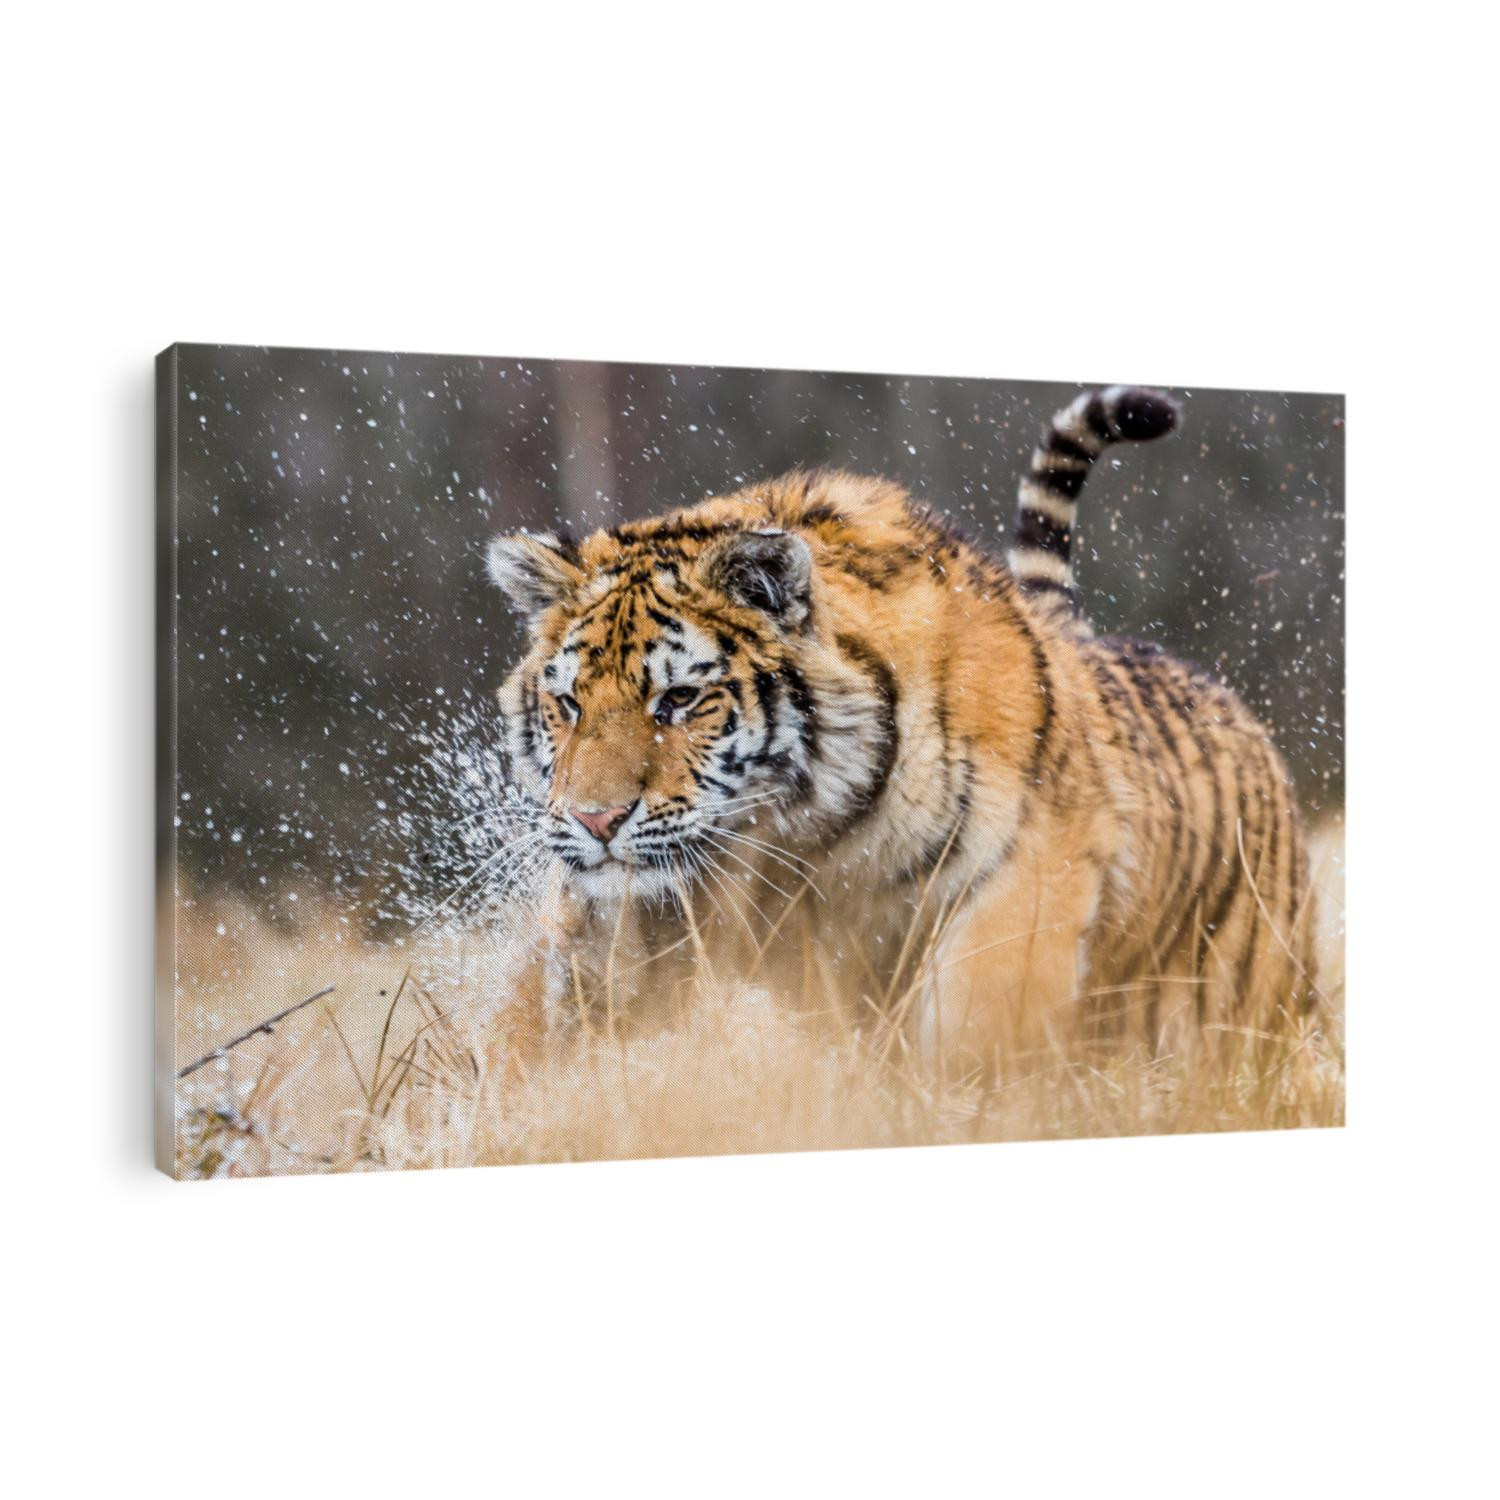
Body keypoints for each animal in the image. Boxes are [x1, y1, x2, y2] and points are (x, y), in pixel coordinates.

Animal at [483, 386, 1319, 1077]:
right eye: (569, 704)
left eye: (681, 699)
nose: (596, 822)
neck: (797, 832)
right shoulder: (637, 912)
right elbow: (539, 1015)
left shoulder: (1031, 865)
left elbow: (977, 1012)